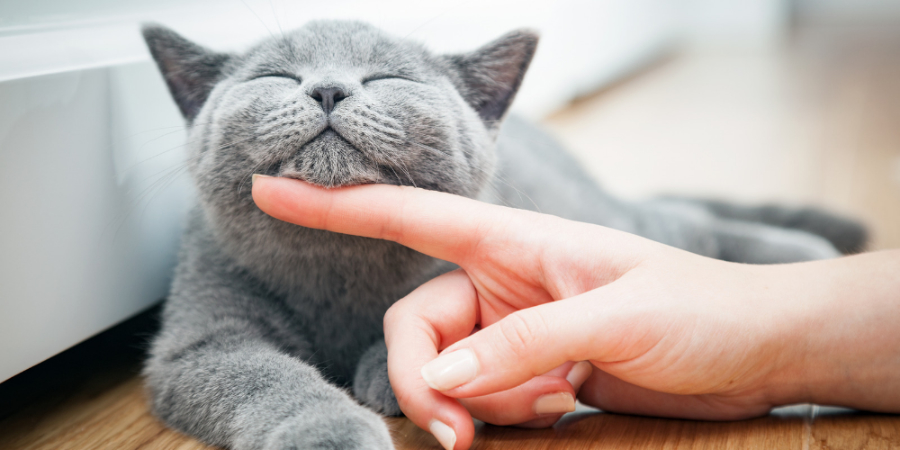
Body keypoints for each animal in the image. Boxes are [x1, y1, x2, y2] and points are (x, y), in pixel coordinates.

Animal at [141, 20, 864, 450]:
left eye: (387, 78)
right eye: (275, 77)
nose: (327, 89)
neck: (336, 263)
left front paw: (386, 373)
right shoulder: (200, 340)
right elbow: (266, 378)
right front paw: (332, 430)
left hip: (601, 218)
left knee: (682, 224)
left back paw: (803, 255)